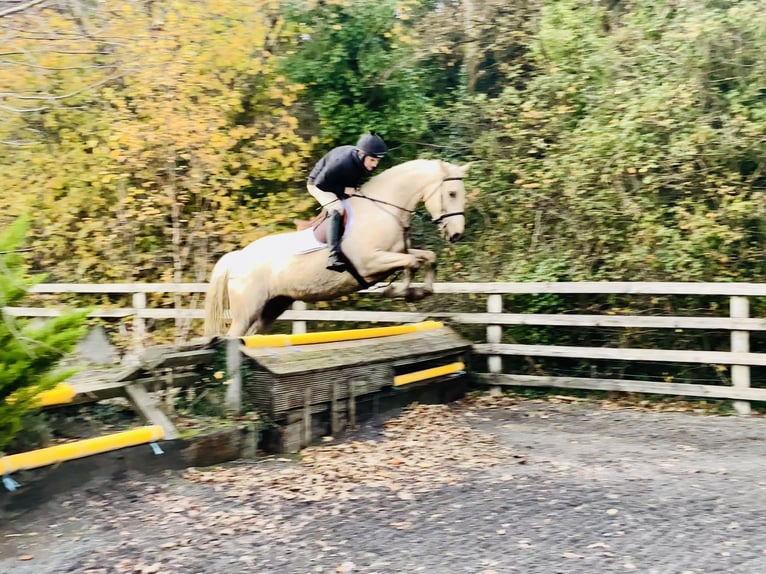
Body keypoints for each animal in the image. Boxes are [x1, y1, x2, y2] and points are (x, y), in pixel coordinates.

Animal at [204, 159, 470, 338]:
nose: (456, 234)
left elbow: (427, 257)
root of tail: (239, 257)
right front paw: (400, 292)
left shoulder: (396, 253)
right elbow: (412, 263)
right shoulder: (371, 263)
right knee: (235, 337)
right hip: (247, 310)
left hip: (272, 307)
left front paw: (419, 291)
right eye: (452, 193)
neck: (385, 209)